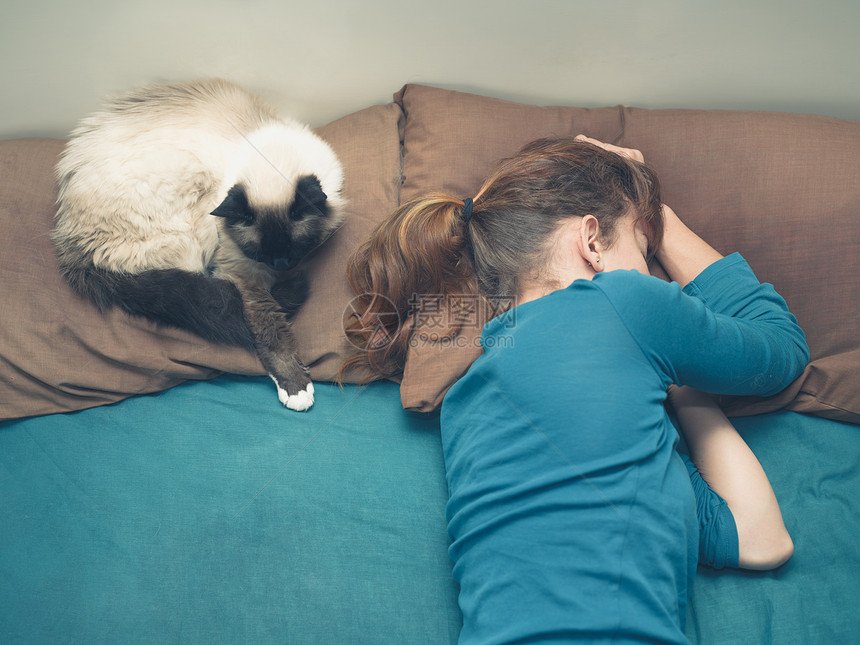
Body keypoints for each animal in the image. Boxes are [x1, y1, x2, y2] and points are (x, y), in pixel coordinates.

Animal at [50, 78, 344, 410]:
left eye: (295, 249)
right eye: (258, 253)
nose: (281, 267)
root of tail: (72, 250)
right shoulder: (242, 273)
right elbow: (269, 328)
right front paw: (296, 389)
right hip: (193, 206)